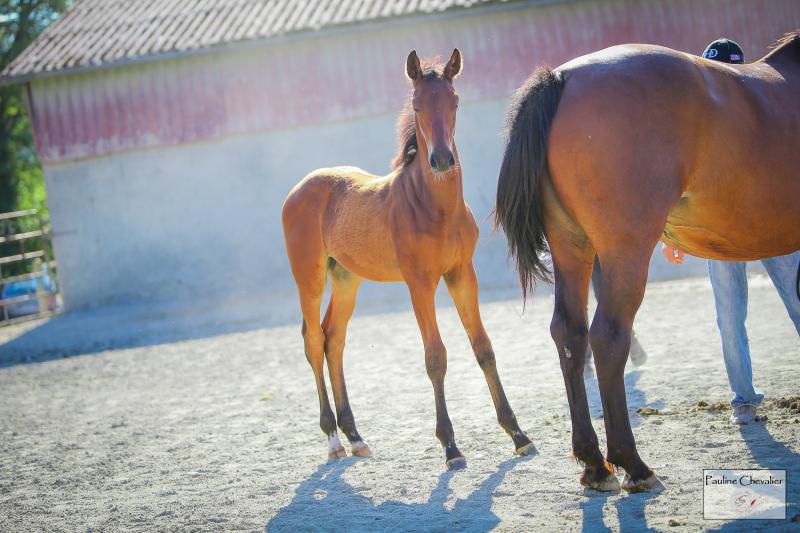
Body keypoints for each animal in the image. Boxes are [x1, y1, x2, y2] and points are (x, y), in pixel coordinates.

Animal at [282, 49, 535, 469]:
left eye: (455, 101)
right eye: (417, 105)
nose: (442, 159)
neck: (435, 208)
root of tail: (300, 188)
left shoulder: (462, 273)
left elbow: (483, 346)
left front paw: (518, 435)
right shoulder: (419, 282)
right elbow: (435, 357)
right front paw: (450, 446)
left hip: (346, 278)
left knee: (334, 338)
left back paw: (355, 436)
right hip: (310, 277)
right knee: (314, 339)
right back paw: (333, 439)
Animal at [495, 31, 800, 492]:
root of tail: (563, 78)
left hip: (571, 245)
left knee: (569, 333)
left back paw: (594, 463)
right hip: (626, 249)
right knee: (608, 337)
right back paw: (632, 464)